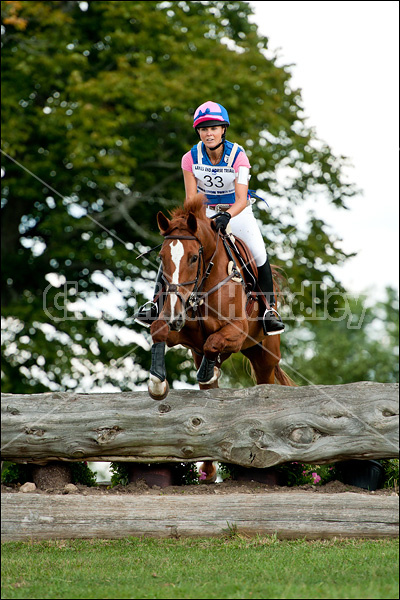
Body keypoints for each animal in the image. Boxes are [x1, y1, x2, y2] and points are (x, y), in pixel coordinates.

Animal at [147, 195, 294, 480]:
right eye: (162, 258)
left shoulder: (236, 331)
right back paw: (207, 469)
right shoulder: (178, 329)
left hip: (265, 355)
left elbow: (213, 342)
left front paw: (208, 371)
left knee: (264, 381)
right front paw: (157, 383)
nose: (175, 313)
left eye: (194, 258)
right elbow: (159, 331)